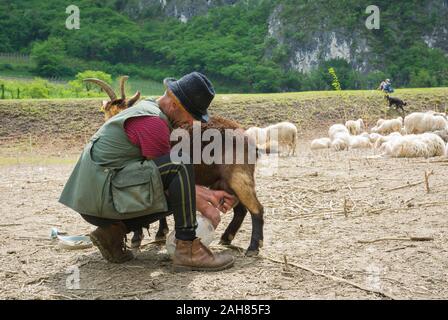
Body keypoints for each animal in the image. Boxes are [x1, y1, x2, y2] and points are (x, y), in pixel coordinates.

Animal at [86, 77, 264, 255]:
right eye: (108, 113)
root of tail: (247, 137)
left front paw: (140, 237)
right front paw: (159, 233)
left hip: (238, 175)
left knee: (256, 208)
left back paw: (253, 247)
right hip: (226, 181)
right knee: (241, 210)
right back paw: (227, 238)